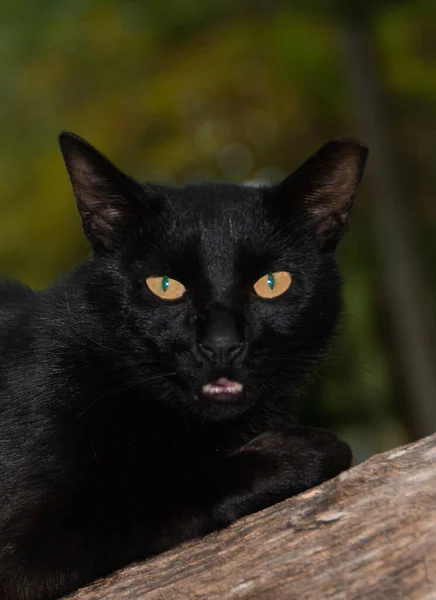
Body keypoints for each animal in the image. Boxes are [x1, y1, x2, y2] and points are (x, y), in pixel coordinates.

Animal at [0, 134, 368, 596]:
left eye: (272, 283)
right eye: (165, 286)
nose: (222, 345)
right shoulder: (24, 547)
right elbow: (160, 487)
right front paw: (305, 450)